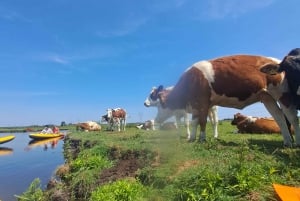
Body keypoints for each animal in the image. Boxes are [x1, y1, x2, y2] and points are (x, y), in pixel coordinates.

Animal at [158, 55, 298, 146]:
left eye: (162, 104)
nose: (157, 119)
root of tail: (277, 61)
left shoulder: (203, 102)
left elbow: (202, 122)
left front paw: (202, 139)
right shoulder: (196, 105)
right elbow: (194, 122)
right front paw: (192, 138)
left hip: (282, 94)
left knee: (292, 117)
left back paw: (296, 142)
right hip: (267, 97)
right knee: (279, 116)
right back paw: (287, 141)